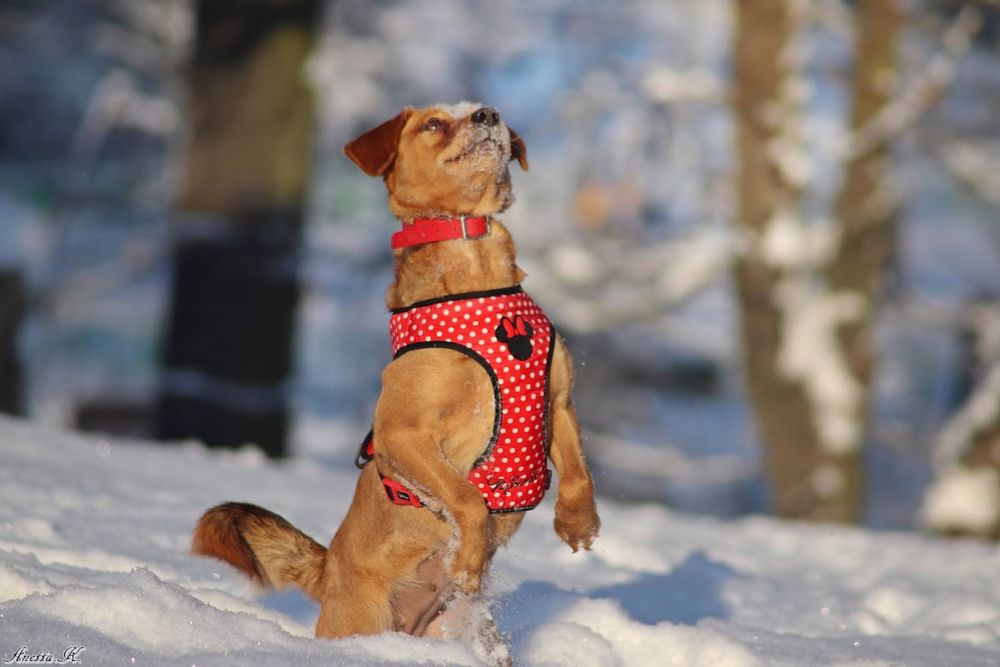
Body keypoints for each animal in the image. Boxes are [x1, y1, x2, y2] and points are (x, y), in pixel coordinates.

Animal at [193, 104, 600, 664]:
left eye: (485, 110)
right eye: (433, 124)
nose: (488, 113)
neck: (472, 261)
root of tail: (328, 574)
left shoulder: (557, 402)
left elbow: (578, 472)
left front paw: (578, 524)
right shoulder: (403, 433)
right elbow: (467, 498)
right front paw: (470, 558)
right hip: (362, 619)